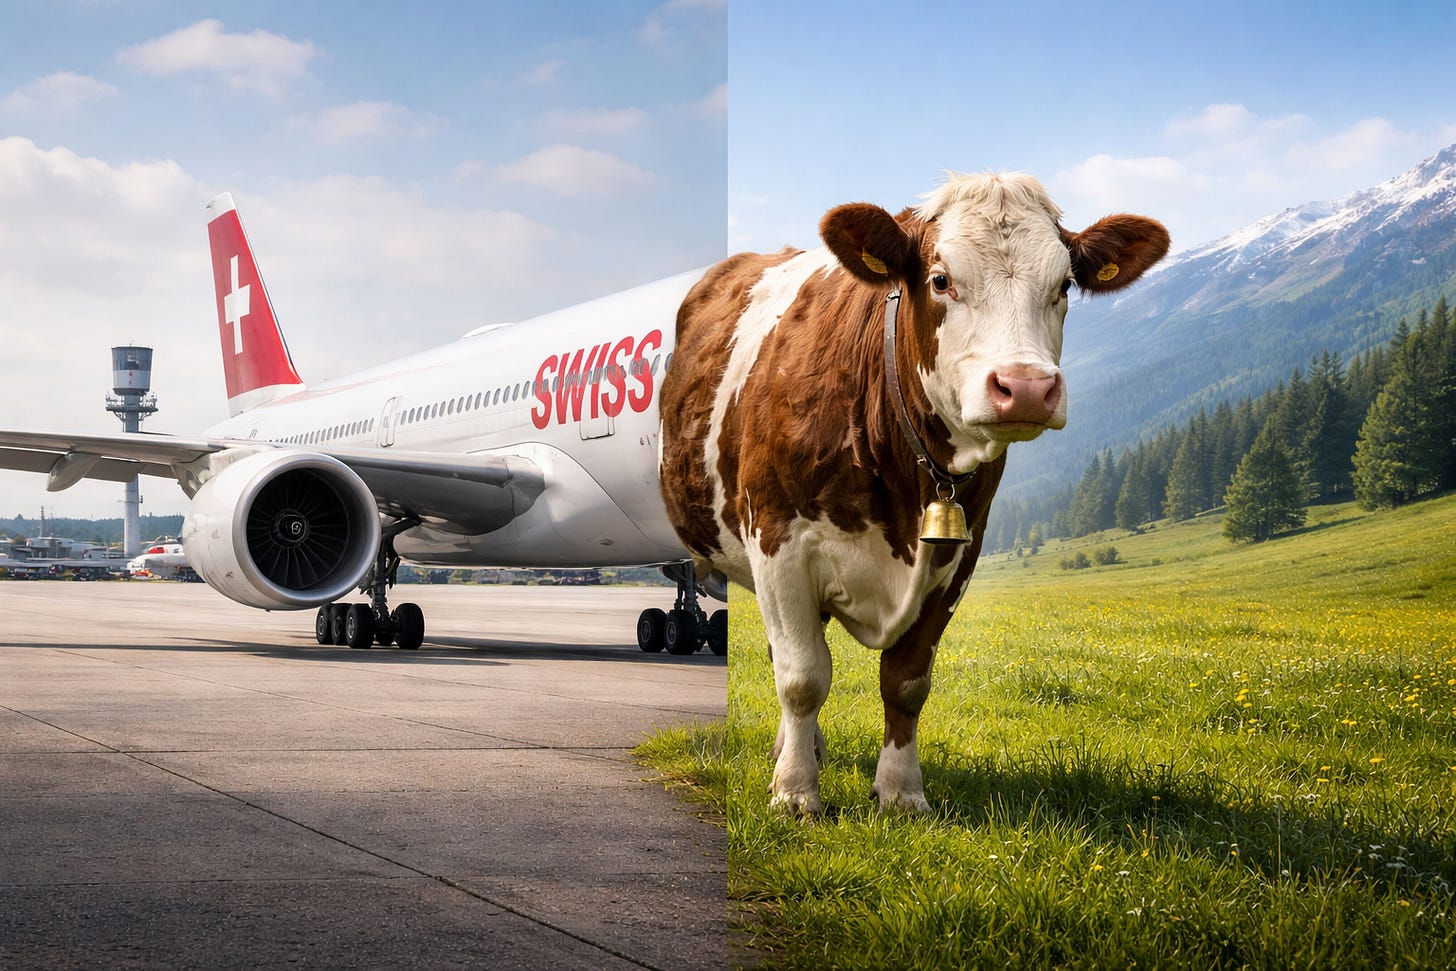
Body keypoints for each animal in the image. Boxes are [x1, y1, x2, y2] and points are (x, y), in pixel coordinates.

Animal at [660, 172, 1168, 813]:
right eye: (940, 279)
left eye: (1064, 286)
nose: (1026, 387)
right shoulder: (779, 544)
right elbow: (802, 678)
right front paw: (796, 793)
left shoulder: (956, 559)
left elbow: (906, 682)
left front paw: (901, 792)